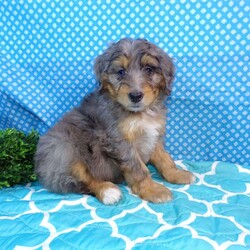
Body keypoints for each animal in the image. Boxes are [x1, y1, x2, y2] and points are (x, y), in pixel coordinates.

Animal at [34, 38, 195, 204]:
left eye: (149, 69)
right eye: (121, 72)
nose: (135, 96)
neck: (139, 114)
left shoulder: (153, 135)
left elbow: (164, 158)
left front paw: (176, 174)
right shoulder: (119, 141)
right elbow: (139, 169)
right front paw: (152, 190)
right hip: (63, 151)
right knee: (83, 180)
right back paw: (107, 191)